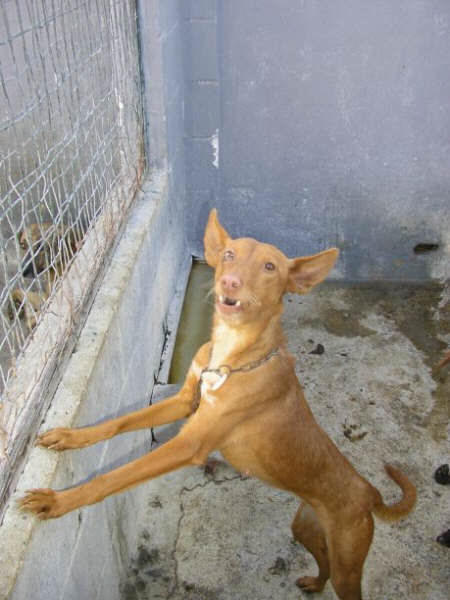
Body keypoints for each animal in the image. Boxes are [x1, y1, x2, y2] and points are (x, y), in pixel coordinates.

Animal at [21, 210, 416, 600]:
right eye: (228, 255)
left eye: (270, 267)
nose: (230, 282)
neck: (230, 355)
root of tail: (368, 491)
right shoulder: (184, 402)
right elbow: (117, 423)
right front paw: (69, 437)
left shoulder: (190, 443)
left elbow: (114, 476)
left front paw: (58, 501)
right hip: (306, 527)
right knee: (324, 563)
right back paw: (313, 584)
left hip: (349, 559)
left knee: (346, 580)